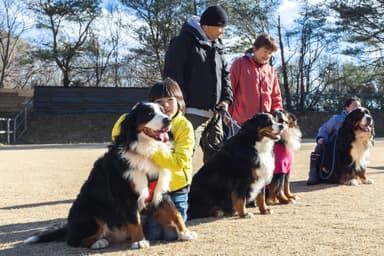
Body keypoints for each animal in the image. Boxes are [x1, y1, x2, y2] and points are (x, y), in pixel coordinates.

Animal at [24, 102, 196, 250]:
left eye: (164, 111)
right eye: (149, 114)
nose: (168, 120)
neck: (146, 151)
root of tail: (69, 226)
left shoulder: (160, 191)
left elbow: (175, 212)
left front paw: (185, 233)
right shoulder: (126, 194)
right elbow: (135, 219)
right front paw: (140, 241)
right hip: (91, 213)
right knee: (73, 240)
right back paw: (98, 242)